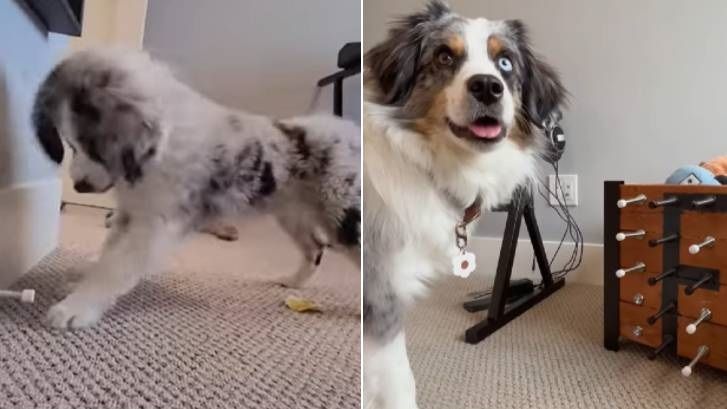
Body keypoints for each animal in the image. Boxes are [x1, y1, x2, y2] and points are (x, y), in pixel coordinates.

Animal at [32, 47, 362, 328]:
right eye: (70, 145)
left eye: (93, 148)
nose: (79, 185)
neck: (159, 148)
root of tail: (352, 131)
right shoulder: (131, 213)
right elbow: (107, 255)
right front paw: (80, 284)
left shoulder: (156, 224)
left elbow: (116, 267)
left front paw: (77, 307)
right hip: (292, 213)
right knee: (315, 248)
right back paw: (293, 281)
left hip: (344, 213)